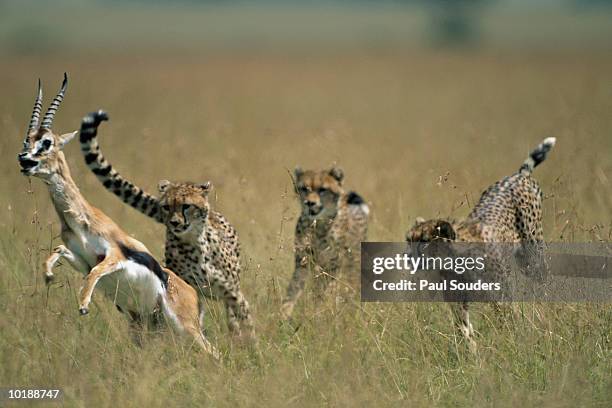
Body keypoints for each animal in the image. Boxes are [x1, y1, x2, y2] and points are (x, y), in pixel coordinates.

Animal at [80, 116, 255, 340]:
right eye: (166, 207)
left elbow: (246, 321)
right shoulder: (188, 290)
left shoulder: (233, 292)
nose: (174, 222)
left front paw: (252, 346)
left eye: (186, 206)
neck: (195, 245)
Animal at [280, 166, 368, 318]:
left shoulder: (333, 265)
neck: (319, 225)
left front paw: (319, 312)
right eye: (305, 188)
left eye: (322, 189)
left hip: (352, 263)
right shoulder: (303, 262)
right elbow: (293, 289)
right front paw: (283, 313)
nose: (310, 203)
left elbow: (327, 292)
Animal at [406, 138, 556, 350]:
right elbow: (464, 330)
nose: (408, 256)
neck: (455, 261)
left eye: (425, 241)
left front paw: (513, 346)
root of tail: (519, 175)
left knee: (545, 281)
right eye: (408, 240)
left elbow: (509, 323)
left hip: (532, 256)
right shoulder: (457, 301)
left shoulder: (501, 295)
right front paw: (471, 354)